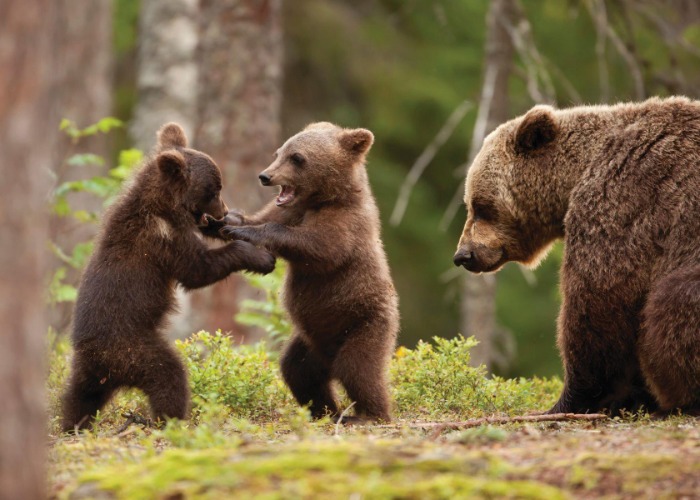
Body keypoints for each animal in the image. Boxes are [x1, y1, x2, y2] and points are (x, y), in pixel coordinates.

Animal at [61, 123, 276, 432]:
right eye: (215, 189)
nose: (223, 210)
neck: (164, 207)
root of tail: (101, 361)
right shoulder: (163, 240)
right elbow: (198, 270)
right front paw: (259, 257)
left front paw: (233, 224)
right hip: (133, 349)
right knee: (168, 375)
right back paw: (170, 419)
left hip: (88, 371)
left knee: (78, 397)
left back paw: (72, 424)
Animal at [217, 122, 399, 422]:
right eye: (278, 152)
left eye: (297, 158)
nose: (265, 176)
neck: (322, 199)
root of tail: (328, 358)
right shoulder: (289, 209)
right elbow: (261, 218)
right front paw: (226, 220)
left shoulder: (346, 224)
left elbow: (320, 248)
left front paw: (248, 231)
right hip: (309, 343)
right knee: (298, 371)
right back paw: (324, 411)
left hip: (365, 323)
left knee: (358, 368)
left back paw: (369, 414)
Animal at [453, 96, 700, 415]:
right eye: (470, 203)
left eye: (481, 206)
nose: (463, 255)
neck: (576, 175)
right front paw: (632, 397)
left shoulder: (625, 200)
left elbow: (598, 300)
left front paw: (570, 400)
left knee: (673, 301)